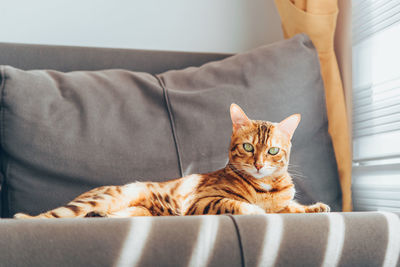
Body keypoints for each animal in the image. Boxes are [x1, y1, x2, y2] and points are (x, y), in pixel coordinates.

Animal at [14, 103, 330, 219]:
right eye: (248, 147)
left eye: (273, 151)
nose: (259, 164)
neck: (266, 187)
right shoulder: (203, 201)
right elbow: (240, 204)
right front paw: (256, 209)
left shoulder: (284, 203)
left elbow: (292, 207)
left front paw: (314, 207)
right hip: (102, 198)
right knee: (44, 218)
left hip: (138, 212)